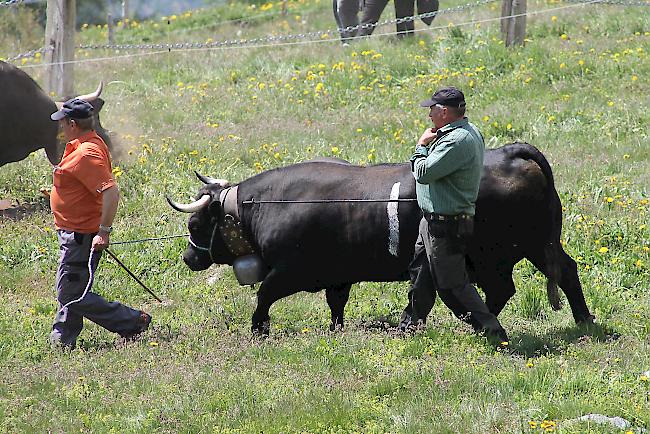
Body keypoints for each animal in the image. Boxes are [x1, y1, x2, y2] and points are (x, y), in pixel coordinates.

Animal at [167, 142, 592, 332]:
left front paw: (258, 328)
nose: (189, 258)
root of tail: (509, 151)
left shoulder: (290, 271)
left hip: (516, 250)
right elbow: (336, 304)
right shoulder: (337, 276)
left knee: (515, 285)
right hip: (526, 249)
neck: (268, 204)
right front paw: (336, 331)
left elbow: (264, 294)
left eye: (196, 225)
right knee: (546, 277)